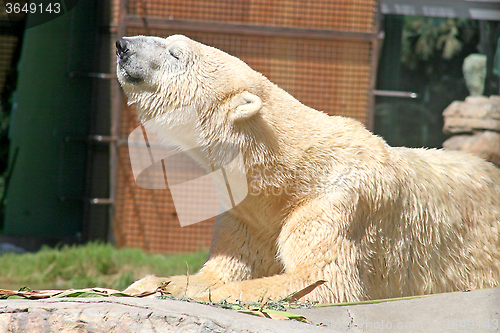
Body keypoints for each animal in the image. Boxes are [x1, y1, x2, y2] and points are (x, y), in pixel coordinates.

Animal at [116, 35, 500, 302]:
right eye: (171, 43)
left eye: (175, 53)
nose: (122, 45)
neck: (288, 177)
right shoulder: (248, 217)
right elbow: (226, 268)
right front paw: (148, 283)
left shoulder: (334, 205)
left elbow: (324, 281)